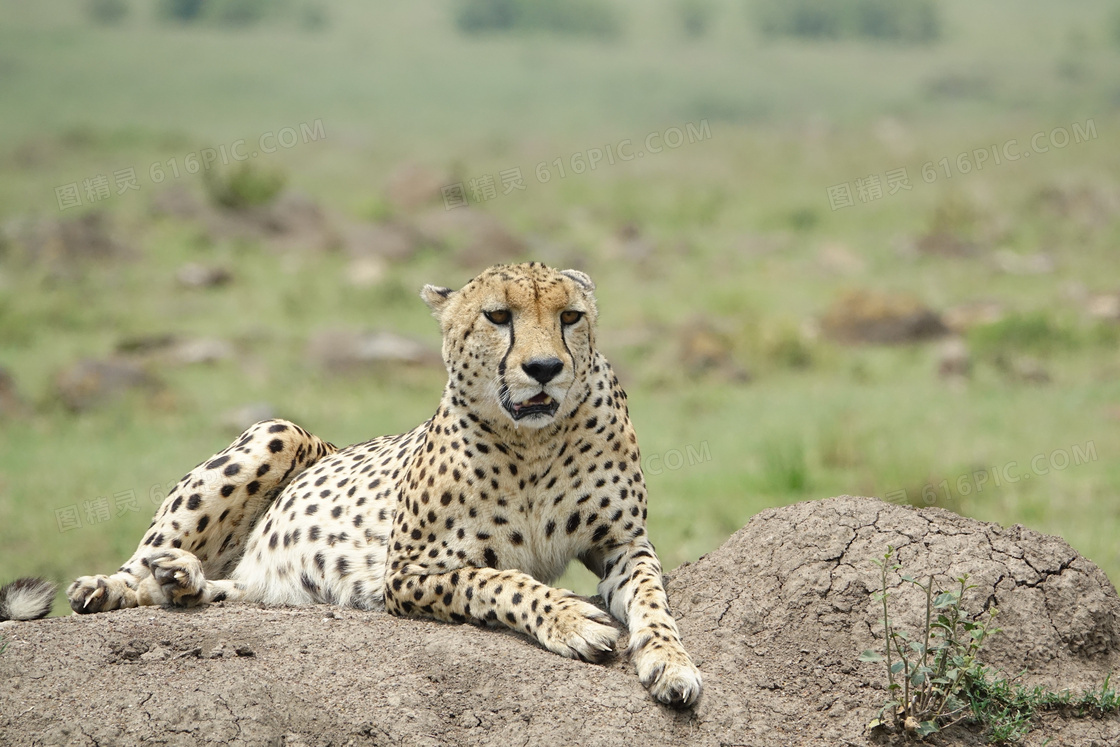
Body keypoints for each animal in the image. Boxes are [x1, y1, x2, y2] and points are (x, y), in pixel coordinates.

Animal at [59, 263, 698, 707]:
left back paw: (186, 582)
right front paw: (571, 618)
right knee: (143, 565)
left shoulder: (622, 542)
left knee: (231, 589)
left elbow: (651, 597)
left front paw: (671, 663)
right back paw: (112, 586)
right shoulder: (408, 572)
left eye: (571, 318)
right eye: (497, 317)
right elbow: (500, 580)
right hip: (277, 431)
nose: (545, 369)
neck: (533, 440)